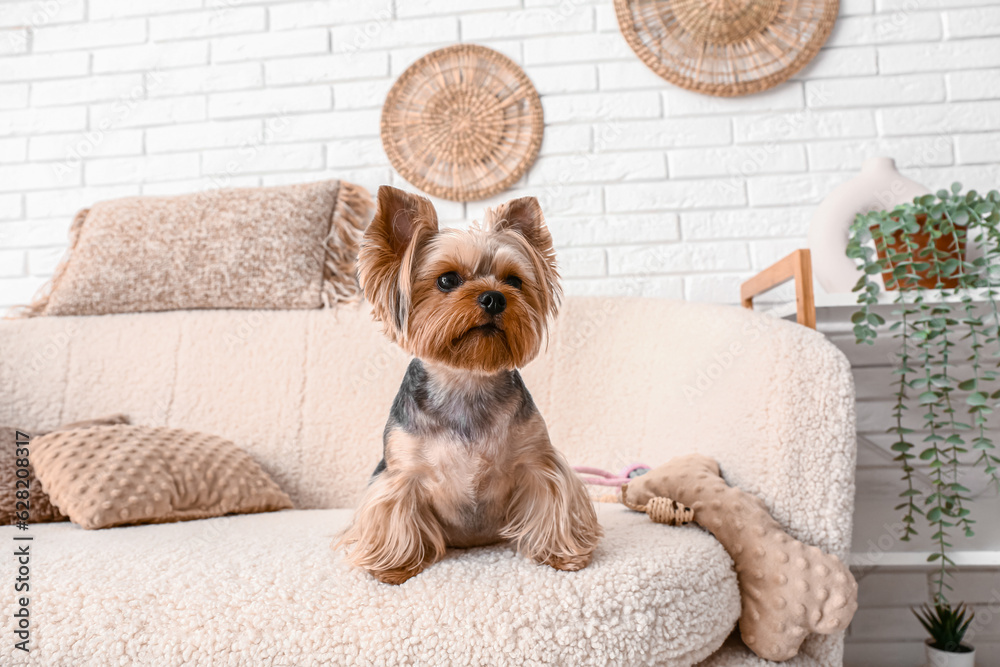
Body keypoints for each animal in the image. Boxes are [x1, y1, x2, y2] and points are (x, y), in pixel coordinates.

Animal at [336, 187, 600, 584]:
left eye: (514, 281)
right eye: (447, 280)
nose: (494, 297)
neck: (467, 380)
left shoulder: (538, 460)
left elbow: (551, 497)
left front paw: (560, 553)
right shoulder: (401, 474)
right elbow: (396, 514)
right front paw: (394, 566)